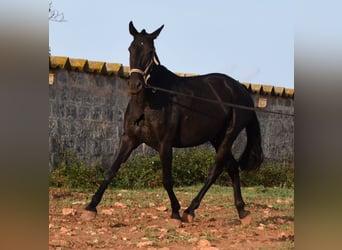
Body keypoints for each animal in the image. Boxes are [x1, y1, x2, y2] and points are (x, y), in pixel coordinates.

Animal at [85, 20, 262, 222]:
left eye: (150, 51)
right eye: (131, 48)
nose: (135, 85)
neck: (149, 102)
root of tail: (242, 91)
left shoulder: (165, 143)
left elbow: (167, 179)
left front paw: (176, 212)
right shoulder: (129, 139)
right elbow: (111, 170)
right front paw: (91, 207)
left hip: (230, 134)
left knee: (216, 169)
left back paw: (190, 210)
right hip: (216, 137)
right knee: (231, 166)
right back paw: (241, 210)